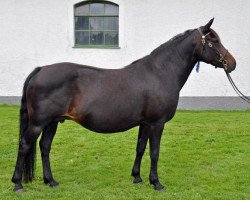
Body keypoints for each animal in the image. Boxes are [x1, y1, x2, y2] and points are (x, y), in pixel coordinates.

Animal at [11, 19, 235, 192]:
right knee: (25, 146)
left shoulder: (145, 123)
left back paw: (50, 181)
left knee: (44, 146)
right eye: (214, 41)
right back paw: (18, 184)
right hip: (38, 123)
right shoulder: (157, 123)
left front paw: (137, 177)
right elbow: (155, 152)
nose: (232, 64)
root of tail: (40, 70)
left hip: (53, 122)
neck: (160, 73)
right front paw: (156, 183)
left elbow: (140, 148)